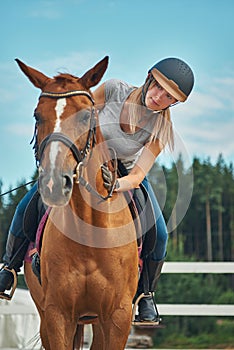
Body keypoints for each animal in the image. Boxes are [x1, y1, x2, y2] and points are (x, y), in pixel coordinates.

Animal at [16, 58, 138, 350]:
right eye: (37, 116)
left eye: (84, 116)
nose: (53, 181)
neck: (90, 234)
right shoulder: (57, 316)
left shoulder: (118, 317)